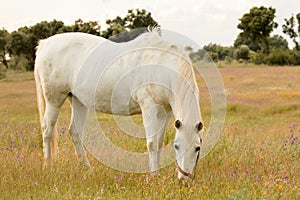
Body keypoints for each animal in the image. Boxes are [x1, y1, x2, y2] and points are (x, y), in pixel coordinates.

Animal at [34, 27, 204, 179]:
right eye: (177, 146)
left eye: (197, 148)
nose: (184, 179)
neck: (161, 68)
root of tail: (45, 43)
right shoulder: (149, 108)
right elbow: (152, 144)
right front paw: (154, 177)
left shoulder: (165, 112)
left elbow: (160, 143)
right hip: (54, 99)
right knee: (47, 129)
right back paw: (47, 168)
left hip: (77, 100)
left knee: (75, 133)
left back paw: (88, 170)